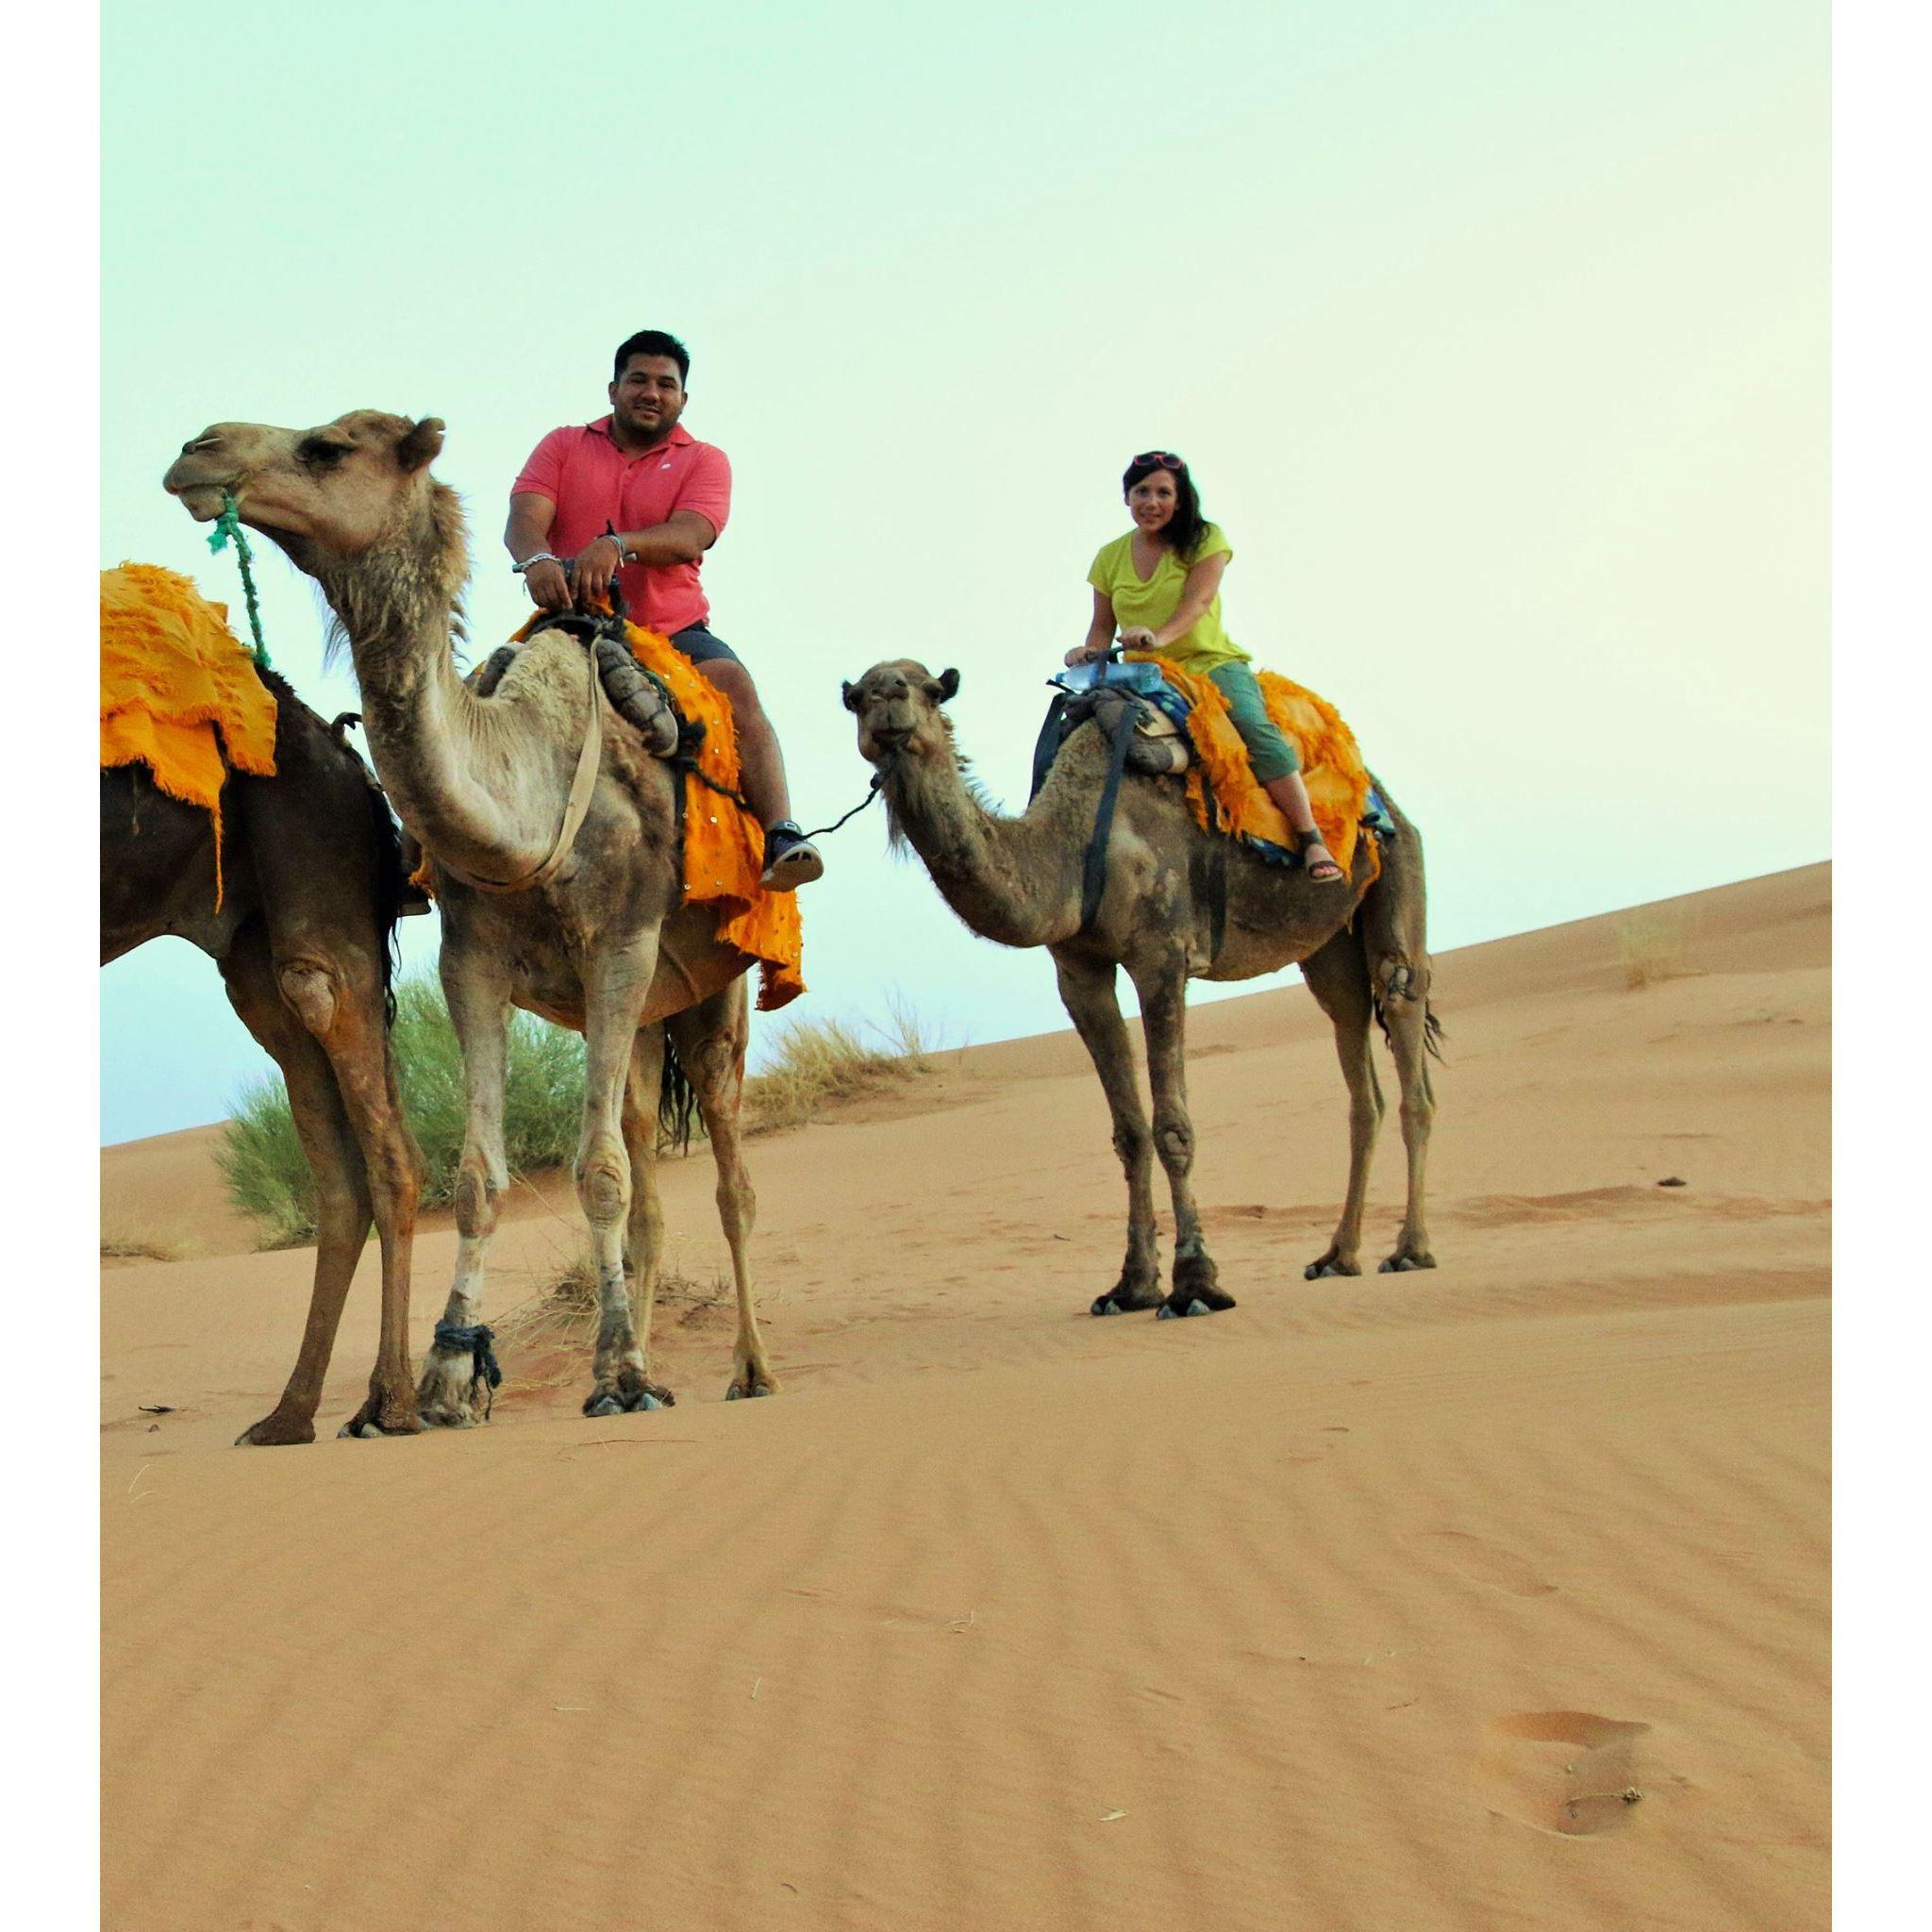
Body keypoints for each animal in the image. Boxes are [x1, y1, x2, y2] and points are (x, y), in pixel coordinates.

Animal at [101, 681, 423, 1443]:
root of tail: (339, 745)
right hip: (248, 949)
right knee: (339, 1173)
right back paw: (288, 1414)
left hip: (312, 855)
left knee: (328, 1004)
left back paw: (390, 1404)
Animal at [163, 411, 777, 1421]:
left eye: (328, 447)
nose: (197, 450)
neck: (528, 794)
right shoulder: (472, 958)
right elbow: (483, 1177)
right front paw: (450, 1379)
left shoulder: (620, 942)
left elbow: (595, 1171)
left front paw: (615, 1371)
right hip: (647, 1017)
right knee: (647, 1169)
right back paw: (659, 1361)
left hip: (717, 987)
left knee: (730, 1175)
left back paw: (749, 1370)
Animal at [842, 661, 1438, 1315]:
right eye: (857, 697)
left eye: (927, 689)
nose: (887, 700)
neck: (1072, 847)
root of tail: (1383, 798)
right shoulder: (1079, 972)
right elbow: (1128, 1132)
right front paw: (1131, 1285)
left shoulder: (1162, 957)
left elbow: (1172, 1126)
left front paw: (1196, 1283)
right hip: (1327, 946)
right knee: (1355, 1051)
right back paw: (1337, 1257)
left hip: (1398, 869)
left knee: (1404, 1024)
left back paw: (1410, 1251)